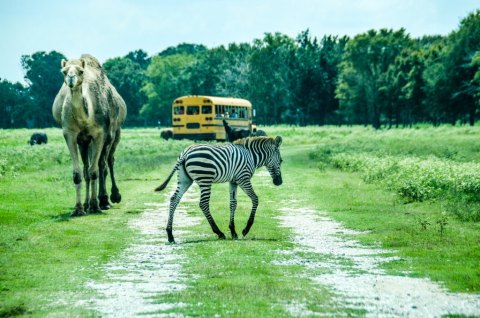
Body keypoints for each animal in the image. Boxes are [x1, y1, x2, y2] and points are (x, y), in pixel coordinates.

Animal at [53, 54, 127, 216]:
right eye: (64, 71)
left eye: (81, 71)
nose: (71, 79)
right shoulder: (70, 134)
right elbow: (79, 173)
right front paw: (79, 208)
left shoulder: (100, 134)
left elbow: (95, 171)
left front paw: (95, 205)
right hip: (85, 142)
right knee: (89, 168)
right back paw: (89, 203)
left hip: (115, 133)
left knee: (106, 162)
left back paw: (108, 199)